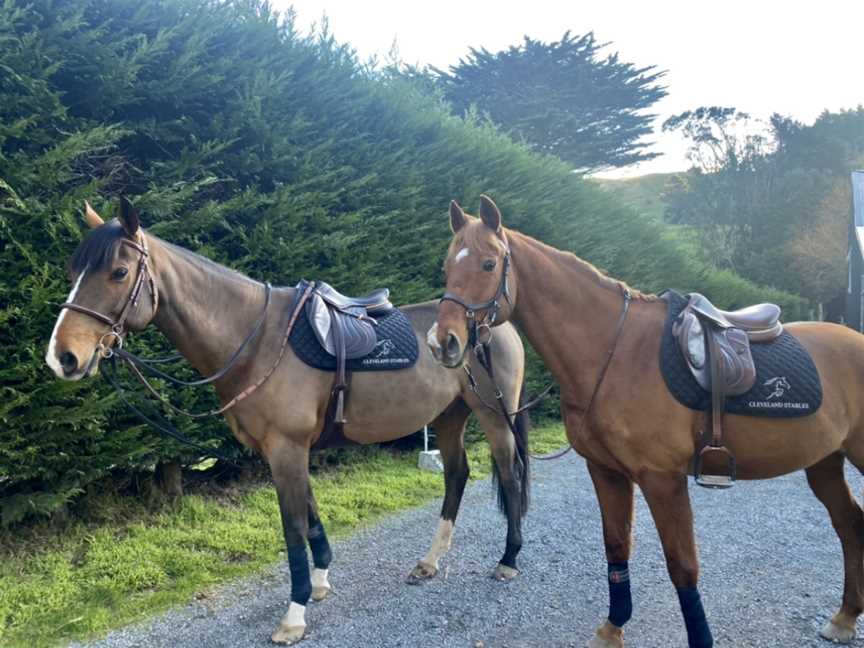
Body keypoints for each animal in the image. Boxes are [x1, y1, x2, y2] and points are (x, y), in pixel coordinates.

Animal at [49, 200, 532, 644]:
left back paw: (508, 560)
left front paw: (294, 614)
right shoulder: (284, 451)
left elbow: (293, 526)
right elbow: (311, 516)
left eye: (118, 272)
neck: (257, 341)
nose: (63, 357)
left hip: (493, 415)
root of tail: (493, 320)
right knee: (456, 476)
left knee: (509, 476)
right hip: (450, 417)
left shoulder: (287, 448)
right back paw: (429, 563)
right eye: (75, 269)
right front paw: (318, 584)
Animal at [432, 196, 864, 648]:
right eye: (446, 267)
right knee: (850, 524)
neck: (614, 350)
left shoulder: (662, 479)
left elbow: (682, 564)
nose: (443, 342)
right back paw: (845, 617)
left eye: (488, 264)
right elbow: (616, 546)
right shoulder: (606, 472)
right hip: (824, 461)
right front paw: (612, 627)